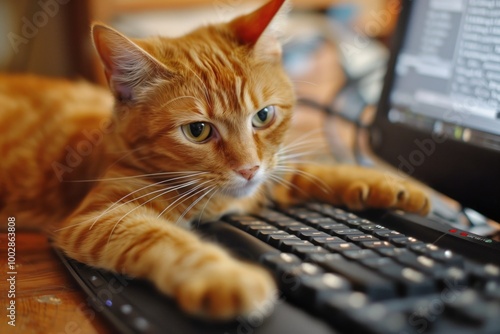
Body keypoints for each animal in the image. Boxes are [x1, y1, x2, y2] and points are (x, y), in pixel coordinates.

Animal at [0, 0, 430, 320]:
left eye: (263, 116)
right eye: (197, 131)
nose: (248, 169)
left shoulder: (269, 174)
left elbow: (307, 170)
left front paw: (391, 184)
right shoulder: (101, 217)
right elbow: (164, 239)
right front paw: (226, 279)